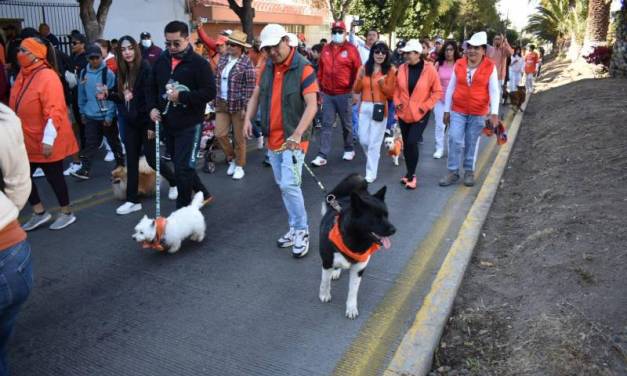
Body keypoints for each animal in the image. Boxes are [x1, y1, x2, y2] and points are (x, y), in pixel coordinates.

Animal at [318, 173, 398, 318]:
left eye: (386, 215)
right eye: (376, 218)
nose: (394, 230)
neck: (355, 241)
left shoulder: (358, 269)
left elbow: (353, 291)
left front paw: (351, 308)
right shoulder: (327, 262)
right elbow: (324, 281)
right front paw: (324, 294)